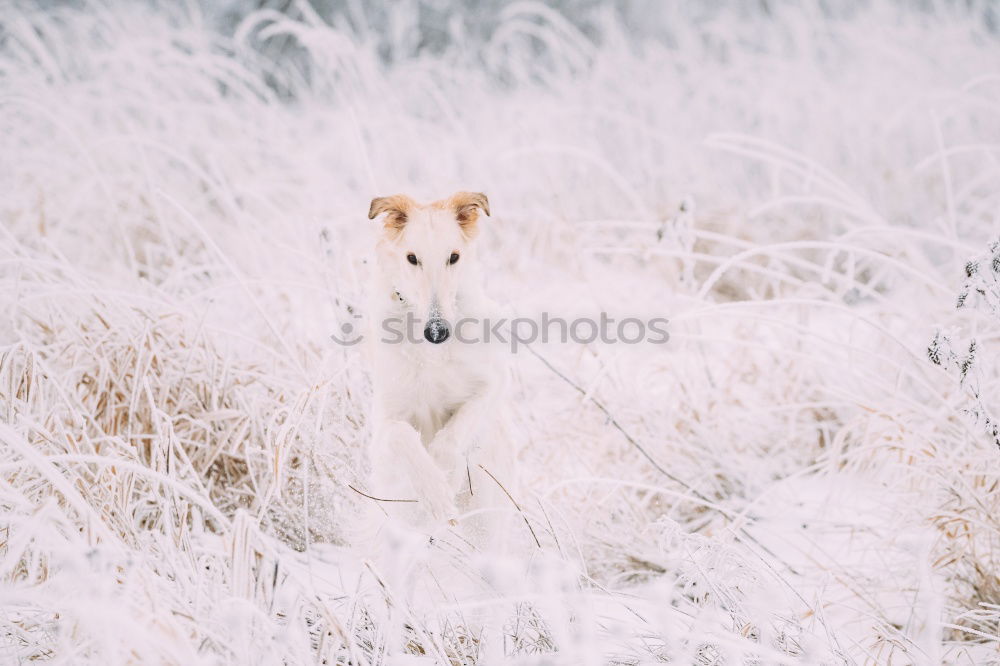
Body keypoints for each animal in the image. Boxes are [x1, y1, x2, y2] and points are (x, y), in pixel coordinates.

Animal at [362, 189, 516, 544]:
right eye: (412, 258)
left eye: (454, 257)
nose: (437, 332)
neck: (431, 354)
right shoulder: (386, 420)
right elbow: (402, 435)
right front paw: (434, 491)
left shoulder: (492, 382)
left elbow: (453, 433)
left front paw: (446, 474)